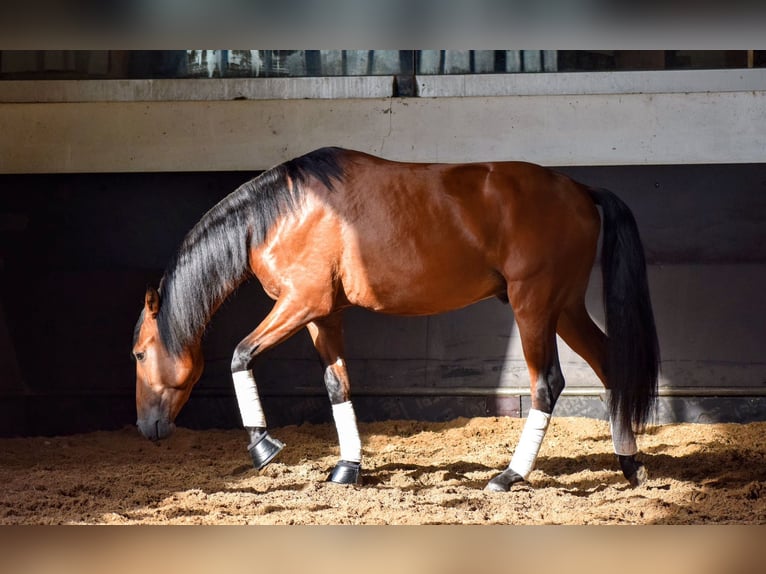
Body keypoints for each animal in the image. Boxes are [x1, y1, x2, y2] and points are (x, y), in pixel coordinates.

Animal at [132, 146, 660, 492]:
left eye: (139, 353)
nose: (145, 426)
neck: (285, 212)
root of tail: (578, 188)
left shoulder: (299, 305)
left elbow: (241, 355)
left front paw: (263, 445)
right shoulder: (322, 316)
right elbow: (337, 386)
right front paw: (347, 468)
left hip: (534, 306)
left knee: (546, 384)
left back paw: (511, 475)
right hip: (564, 308)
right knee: (609, 366)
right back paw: (630, 464)